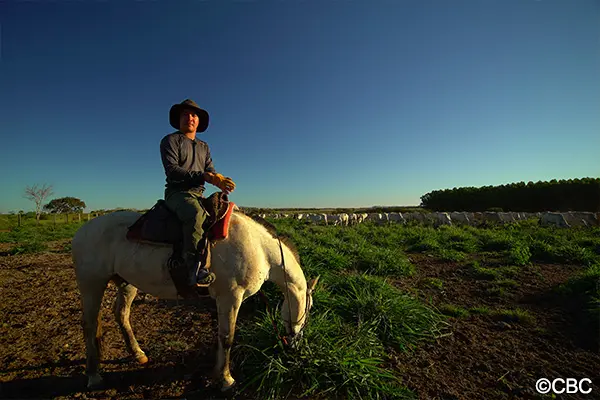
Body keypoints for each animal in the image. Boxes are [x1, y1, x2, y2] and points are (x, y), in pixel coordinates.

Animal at [71, 211, 318, 392]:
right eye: (308, 310)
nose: (296, 346)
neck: (260, 248)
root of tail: (83, 230)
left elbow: (221, 337)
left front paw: (218, 372)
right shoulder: (231, 297)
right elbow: (228, 338)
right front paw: (226, 380)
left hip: (127, 283)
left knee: (121, 313)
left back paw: (138, 353)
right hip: (91, 283)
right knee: (89, 324)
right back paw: (94, 376)